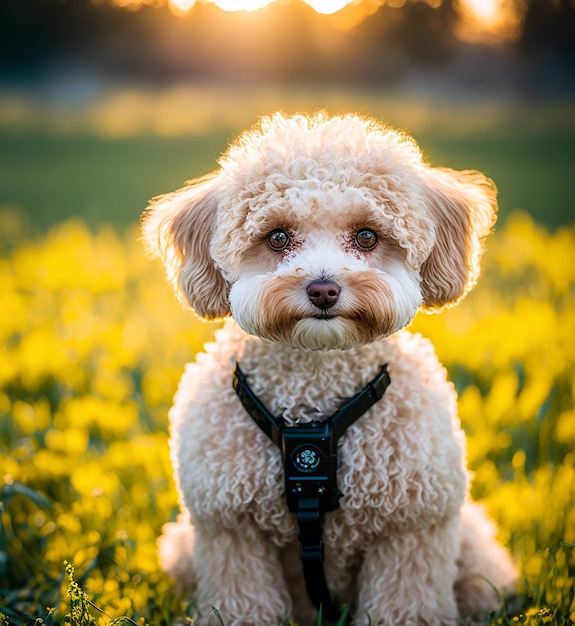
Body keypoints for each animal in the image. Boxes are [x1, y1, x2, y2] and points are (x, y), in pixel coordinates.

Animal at [143, 113, 516, 624]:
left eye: (366, 236)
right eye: (278, 237)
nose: (323, 290)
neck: (315, 390)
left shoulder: (410, 529)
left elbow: (404, 604)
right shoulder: (232, 531)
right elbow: (244, 602)